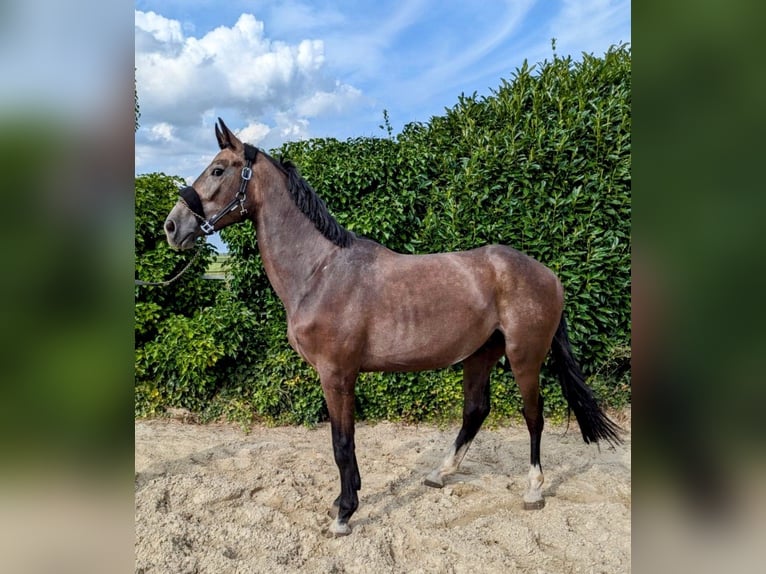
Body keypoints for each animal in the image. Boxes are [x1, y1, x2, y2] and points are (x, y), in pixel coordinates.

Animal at [165, 119, 620, 536]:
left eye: (218, 170)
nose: (173, 226)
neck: (321, 271)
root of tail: (549, 275)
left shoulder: (337, 374)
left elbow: (342, 443)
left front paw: (345, 513)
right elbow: (343, 441)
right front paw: (345, 501)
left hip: (524, 356)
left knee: (533, 415)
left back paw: (533, 490)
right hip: (480, 354)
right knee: (476, 411)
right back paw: (440, 473)